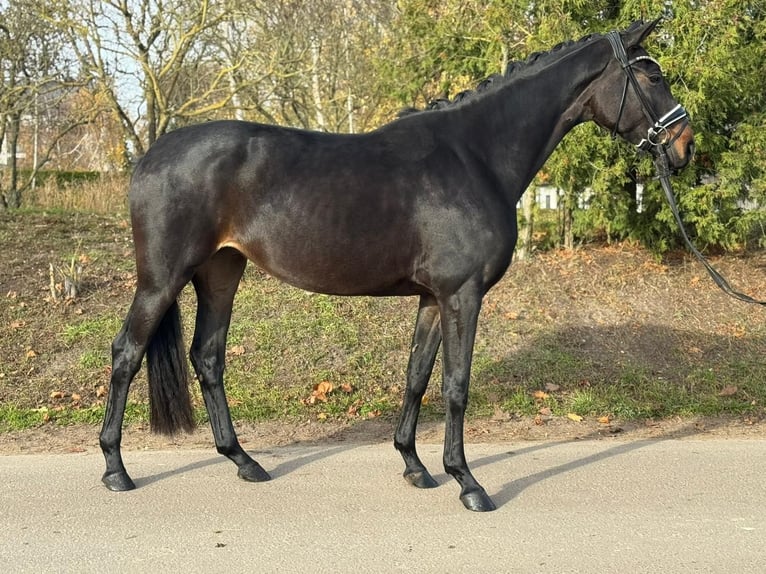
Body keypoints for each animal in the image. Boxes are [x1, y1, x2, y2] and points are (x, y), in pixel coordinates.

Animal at [100, 19, 694, 512]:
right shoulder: (463, 295)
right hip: (162, 279)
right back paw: (115, 469)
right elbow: (456, 384)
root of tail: (149, 156)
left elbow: (416, 376)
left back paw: (244, 461)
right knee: (127, 352)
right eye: (652, 75)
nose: (684, 145)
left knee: (208, 356)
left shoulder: (434, 297)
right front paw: (468, 483)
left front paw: (415, 466)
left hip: (222, 272)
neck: (475, 156)